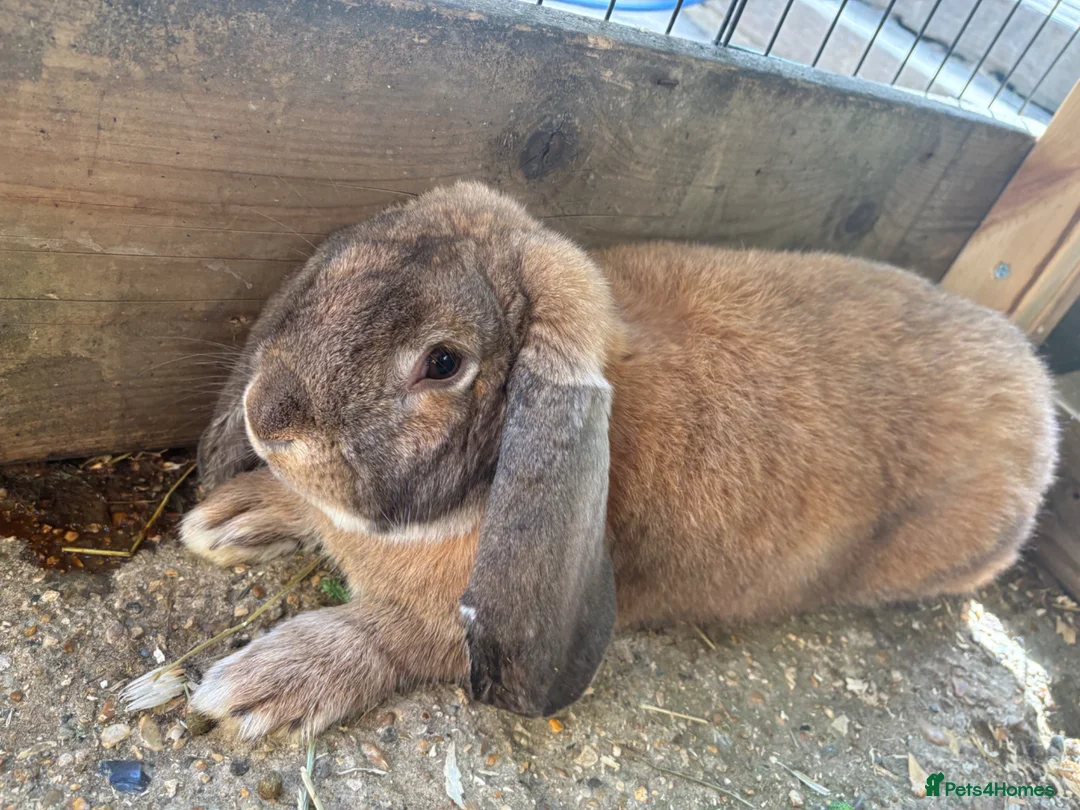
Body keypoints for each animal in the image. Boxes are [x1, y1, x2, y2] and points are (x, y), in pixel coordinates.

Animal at [180, 181, 1058, 740]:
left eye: (443, 364)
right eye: (331, 276)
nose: (266, 415)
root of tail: (1041, 403)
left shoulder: (452, 629)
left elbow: (384, 638)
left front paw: (261, 686)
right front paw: (231, 518)